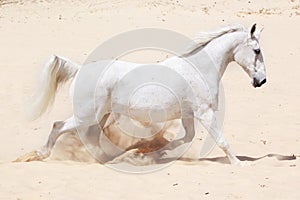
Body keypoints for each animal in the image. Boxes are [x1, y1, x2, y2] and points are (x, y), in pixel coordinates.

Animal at [17, 23, 264, 165]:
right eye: (257, 50)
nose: (261, 81)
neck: (199, 68)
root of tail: (79, 70)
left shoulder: (189, 114)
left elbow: (186, 138)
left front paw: (143, 151)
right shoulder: (205, 112)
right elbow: (221, 140)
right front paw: (240, 164)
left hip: (101, 115)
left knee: (91, 137)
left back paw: (108, 159)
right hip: (85, 115)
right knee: (58, 126)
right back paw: (37, 155)